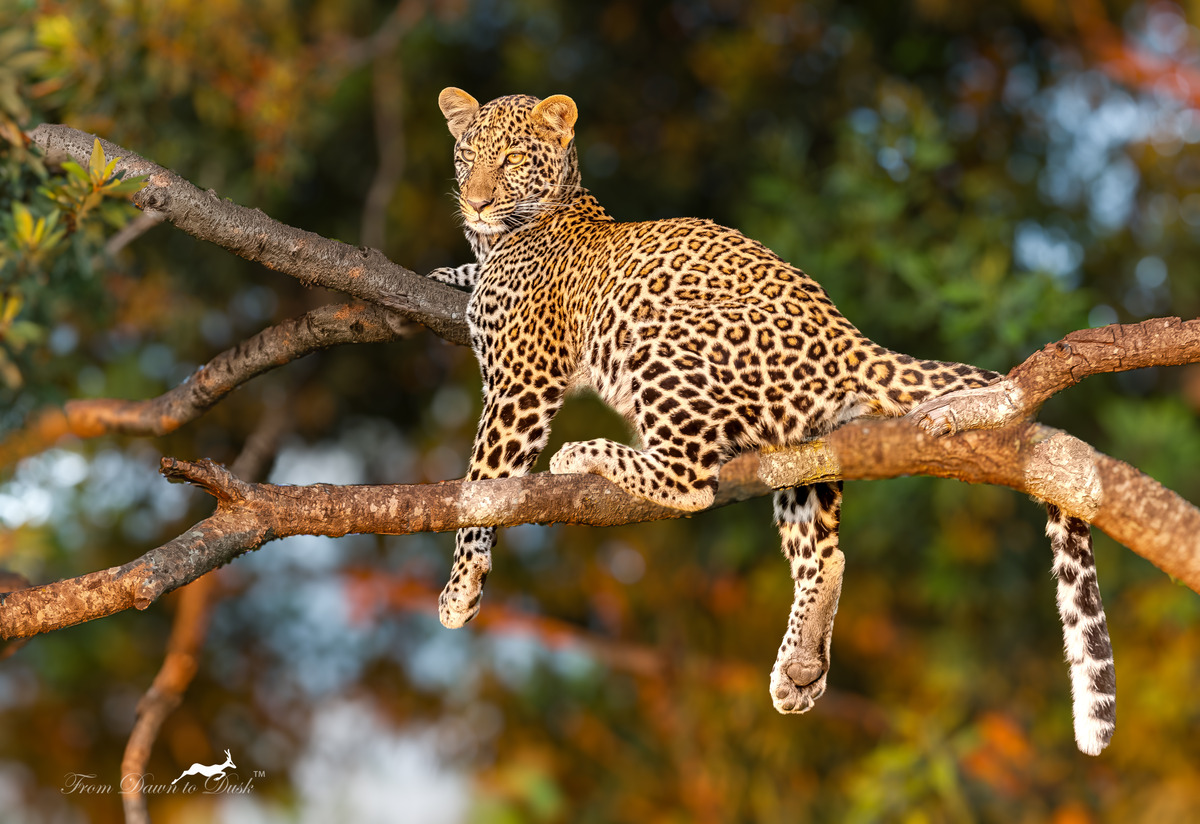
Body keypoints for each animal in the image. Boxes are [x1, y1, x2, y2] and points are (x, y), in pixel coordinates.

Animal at [425, 87, 1116, 755]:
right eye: (466, 157)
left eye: (513, 160)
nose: (476, 202)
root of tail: (849, 339)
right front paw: (444, 272)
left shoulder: (522, 381)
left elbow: (482, 484)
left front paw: (461, 588)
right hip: (801, 443)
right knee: (825, 553)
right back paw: (801, 666)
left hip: (662, 343)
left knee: (690, 482)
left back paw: (586, 455)